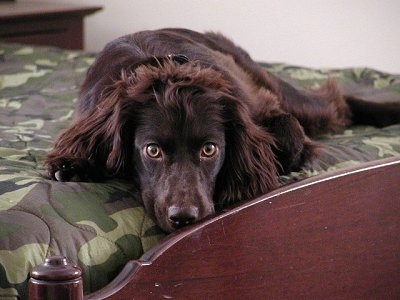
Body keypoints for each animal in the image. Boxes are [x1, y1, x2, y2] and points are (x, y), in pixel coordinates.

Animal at [45, 28, 398, 232]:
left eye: (209, 149)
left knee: (339, 104)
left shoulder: (259, 107)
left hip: (283, 92)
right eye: (152, 150)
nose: (184, 218)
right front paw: (73, 164)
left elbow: (289, 140)